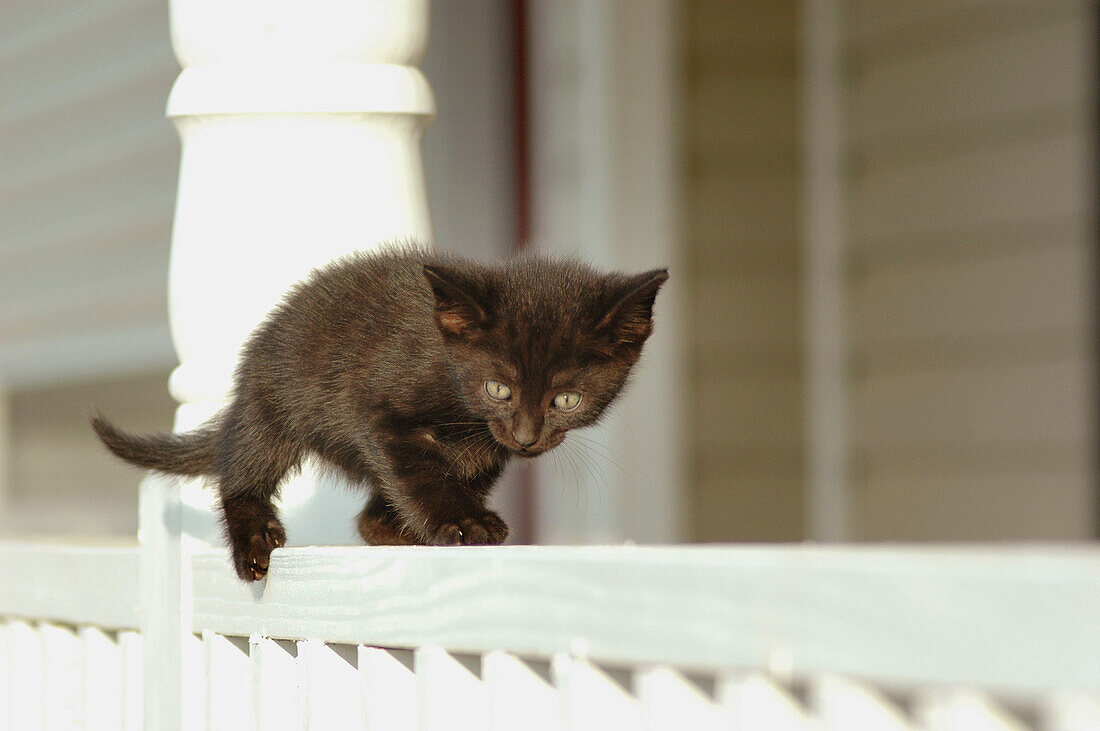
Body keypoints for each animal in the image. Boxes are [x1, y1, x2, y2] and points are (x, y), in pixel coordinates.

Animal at [92, 248, 660, 580]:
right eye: (498, 388)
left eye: (566, 400)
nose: (525, 437)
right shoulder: (381, 412)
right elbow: (422, 474)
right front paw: (464, 521)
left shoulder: (486, 448)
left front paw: (444, 522)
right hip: (271, 404)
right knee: (245, 469)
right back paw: (253, 538)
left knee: (369, 516)